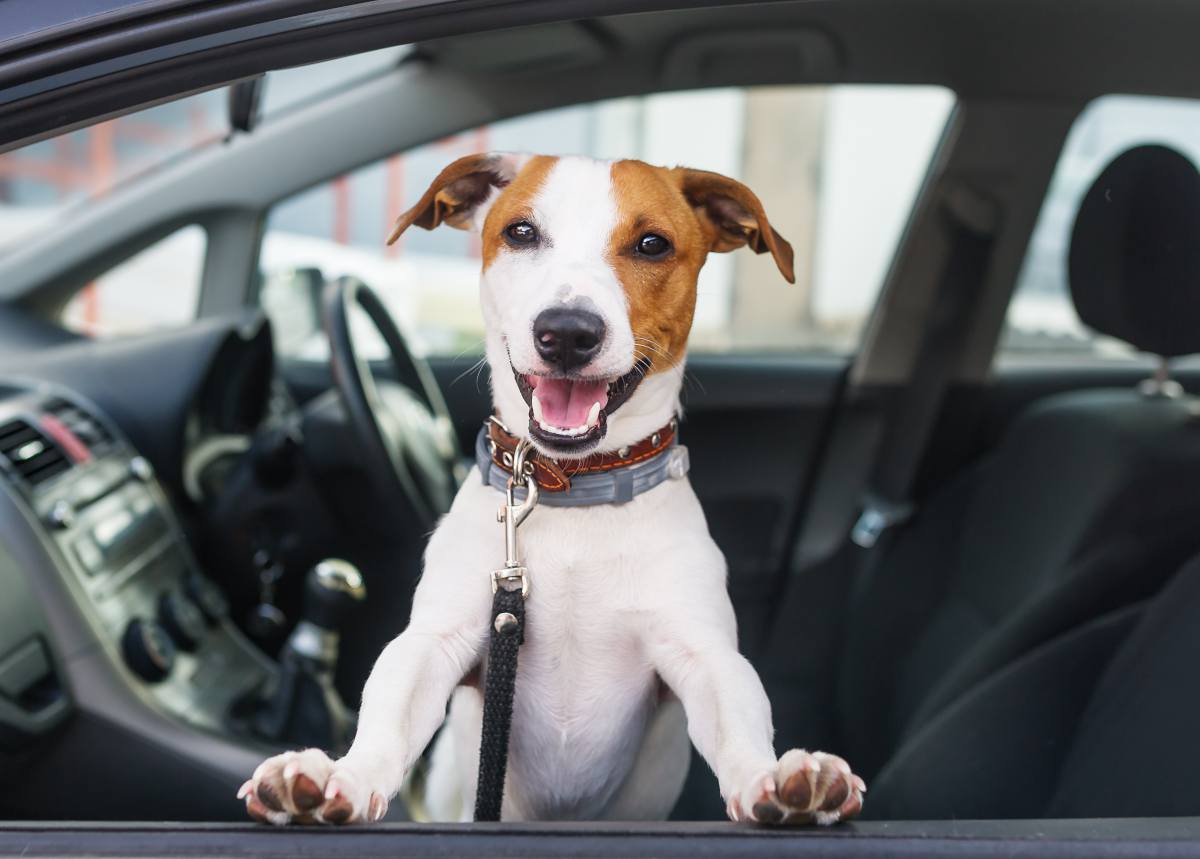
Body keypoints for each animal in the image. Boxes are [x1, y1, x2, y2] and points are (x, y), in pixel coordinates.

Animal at [238, 152, 868, 825]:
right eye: (520, 232)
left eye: (652, 244)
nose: (567, 331)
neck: (573, 490)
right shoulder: (438, 641)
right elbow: (389, 710)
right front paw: (342, 777)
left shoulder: (703, 654)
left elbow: (739, 720)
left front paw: (774, 782)